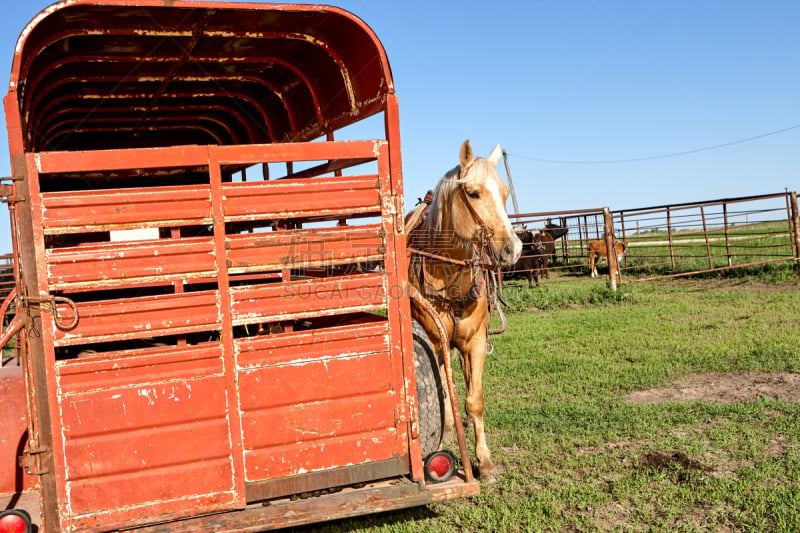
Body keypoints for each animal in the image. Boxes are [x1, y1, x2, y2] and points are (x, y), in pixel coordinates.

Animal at [406, 139, 524, 480]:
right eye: (473, 193)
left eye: (505, 193)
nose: (513, 249)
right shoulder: (435, 342)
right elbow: (445, 389)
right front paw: (447, 433)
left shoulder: (477, 342)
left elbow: (474, 399)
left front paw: (484, 460)